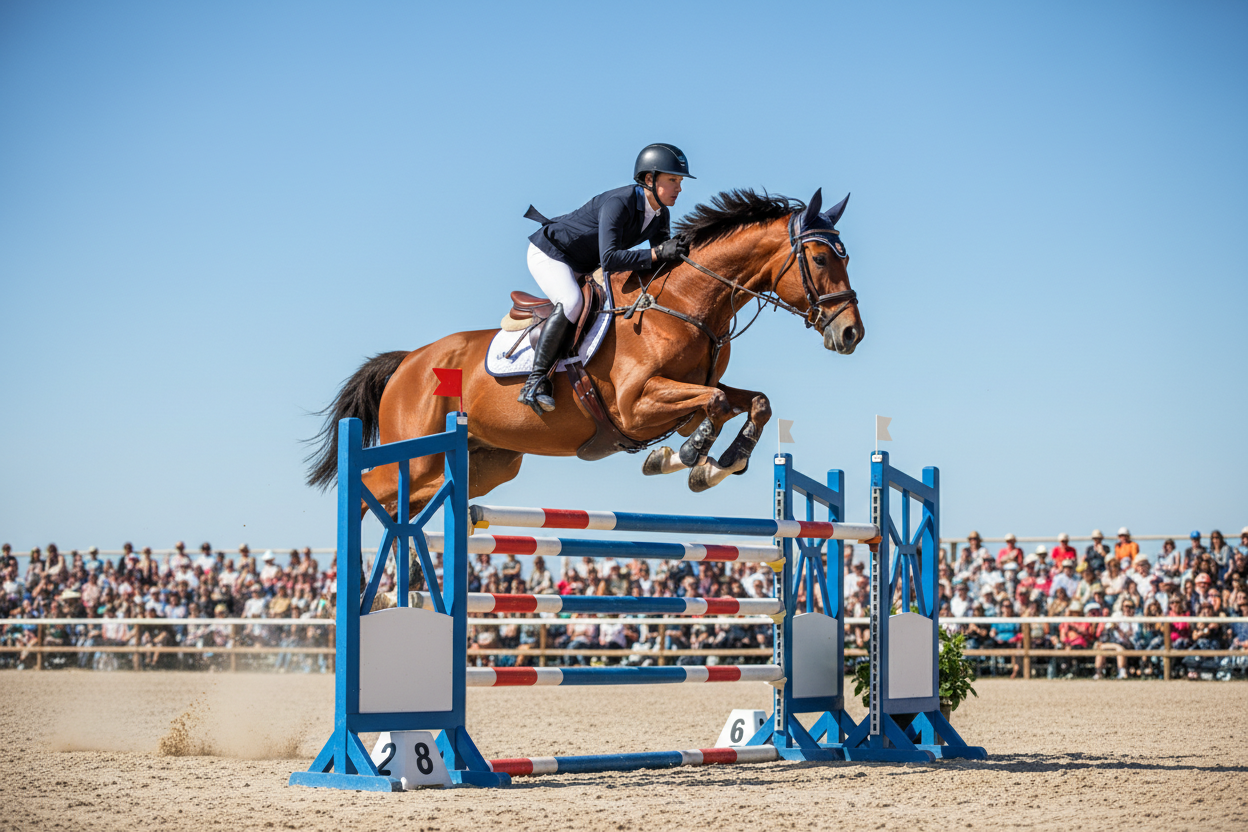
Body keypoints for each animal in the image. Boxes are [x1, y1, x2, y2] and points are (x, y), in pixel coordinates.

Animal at [306, 188, 865, 517]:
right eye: (819, 258)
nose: (851, 334)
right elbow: (717, 404)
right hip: (418, 454)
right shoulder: (636, 404)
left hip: (481, 465)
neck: (686, 303)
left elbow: (753, 402)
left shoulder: (693, 385)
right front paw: (685, 456)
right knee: (371, 488)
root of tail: (409, 361)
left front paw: (717, 462)